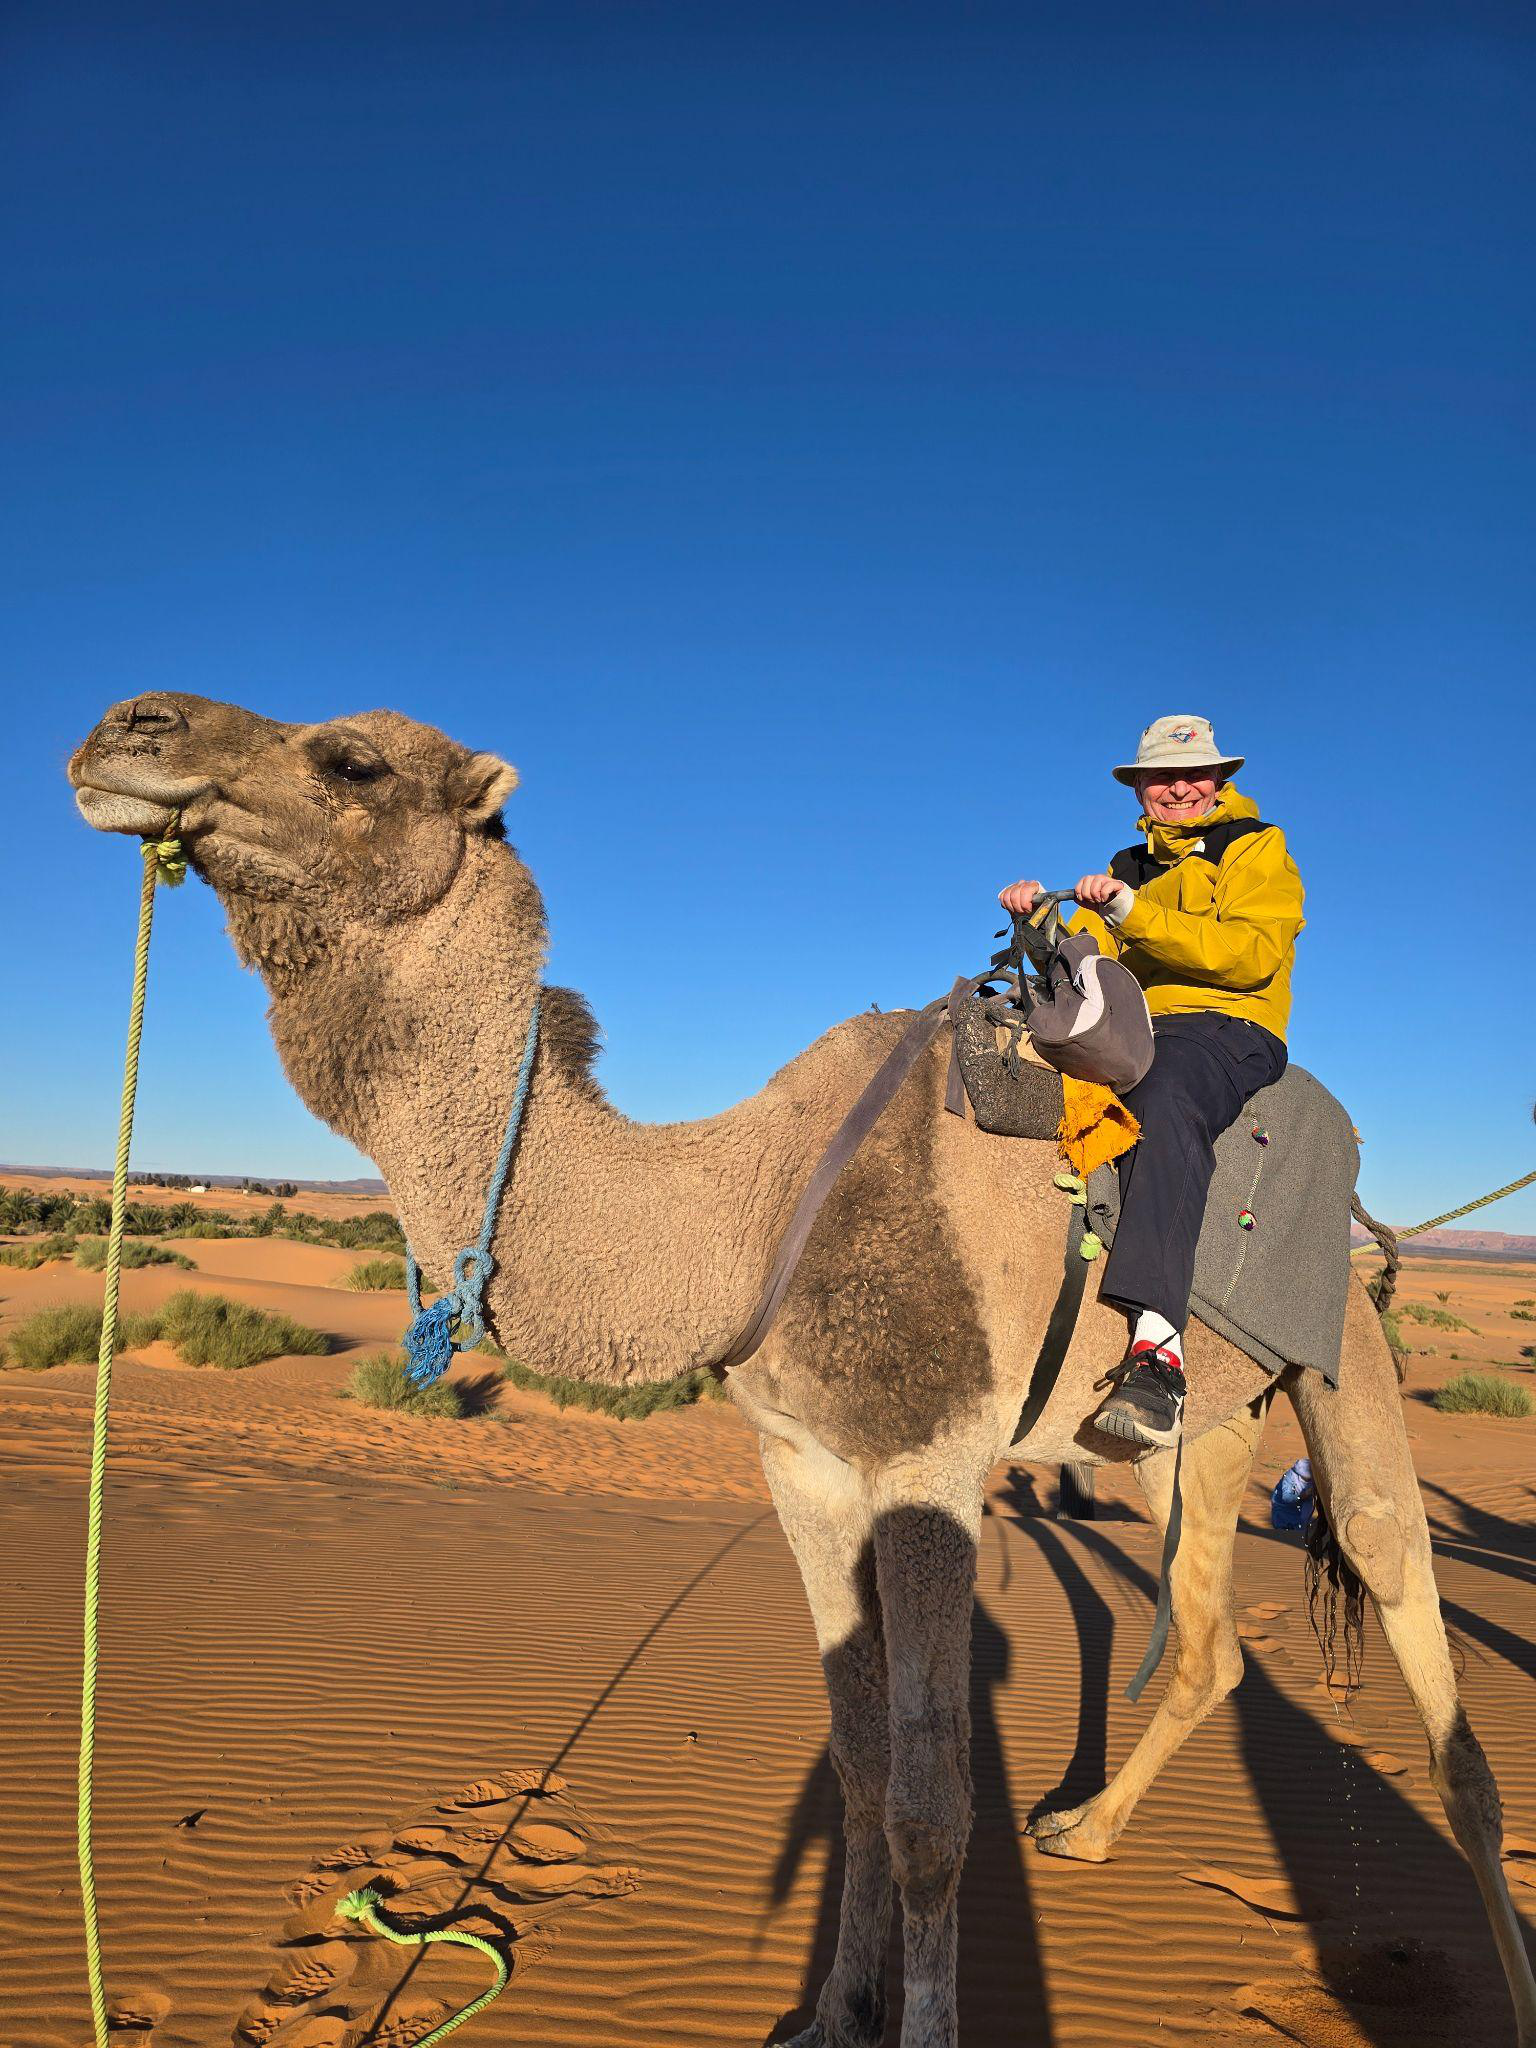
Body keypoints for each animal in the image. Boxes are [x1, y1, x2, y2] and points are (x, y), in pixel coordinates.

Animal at [69, 692, 1536, 2048]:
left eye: (353, 760)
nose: (125, 728)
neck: (749, 1206)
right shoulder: (805, 1464)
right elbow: (860, 1763)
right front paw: (831, 2014)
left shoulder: (932, 1457)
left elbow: (932, 1800)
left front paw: (919, 2023)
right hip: (1196, 1435)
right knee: (1207, 1634)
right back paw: (1083, 1830)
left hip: (1346, 1357)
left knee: (1422, 1652)